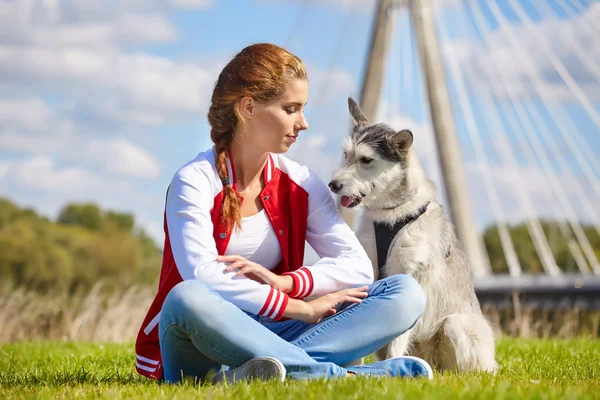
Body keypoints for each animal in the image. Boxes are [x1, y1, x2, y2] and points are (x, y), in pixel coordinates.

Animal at [328, 98, 496, 374]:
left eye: (366, 159)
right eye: (345, 154)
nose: (333, 185)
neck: (389, 215)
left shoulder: (411, 276)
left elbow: (398, 335)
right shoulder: (368, 268)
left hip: (457, 324)